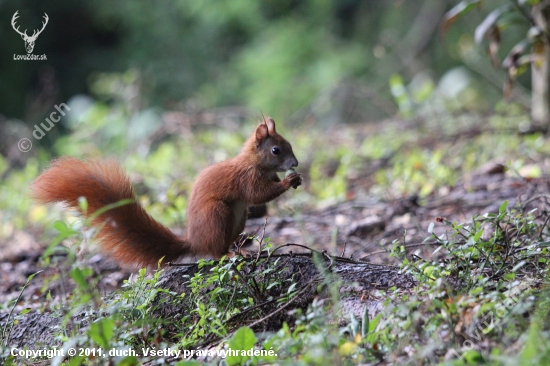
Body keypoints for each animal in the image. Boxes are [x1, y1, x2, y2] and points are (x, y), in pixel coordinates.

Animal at [32, 118, 304, 268]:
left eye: (289, 144)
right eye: (276, 150)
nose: (296, 163)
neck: (254, 163)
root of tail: (193, 241)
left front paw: (295, 179)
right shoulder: (246, 179)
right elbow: (258, 194)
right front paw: (288, 182)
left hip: (238, 219)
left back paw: (242, 249)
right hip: (217, 214)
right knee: (214, 252)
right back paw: (229, 254)